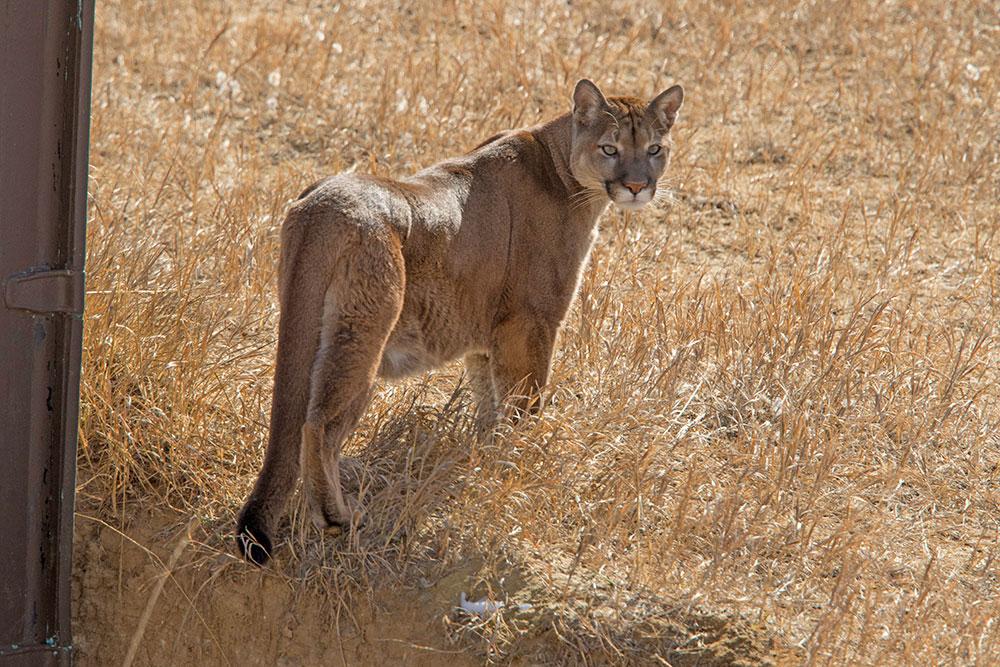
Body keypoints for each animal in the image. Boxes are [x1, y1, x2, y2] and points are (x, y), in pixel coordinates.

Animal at [238, 81, 684, 568]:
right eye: (610, 148)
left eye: (655, 149)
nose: (637, 186)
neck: (565, 166)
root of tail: (322, 205)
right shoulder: (532, 321)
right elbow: (525, 401)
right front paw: (520, 457)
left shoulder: (486, 336)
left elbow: (488, 401)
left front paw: (488, 452)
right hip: (362, 334)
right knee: (318, 425)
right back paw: (339, 517)